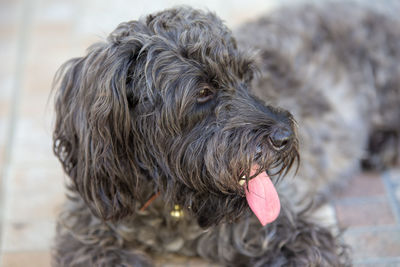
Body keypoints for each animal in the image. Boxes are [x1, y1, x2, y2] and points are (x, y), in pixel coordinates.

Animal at [51, 1, 400, 266]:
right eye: (204, 92)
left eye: (246, 77)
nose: (285, 137)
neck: (174, 208)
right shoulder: (86, 229)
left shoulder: (294, 233)